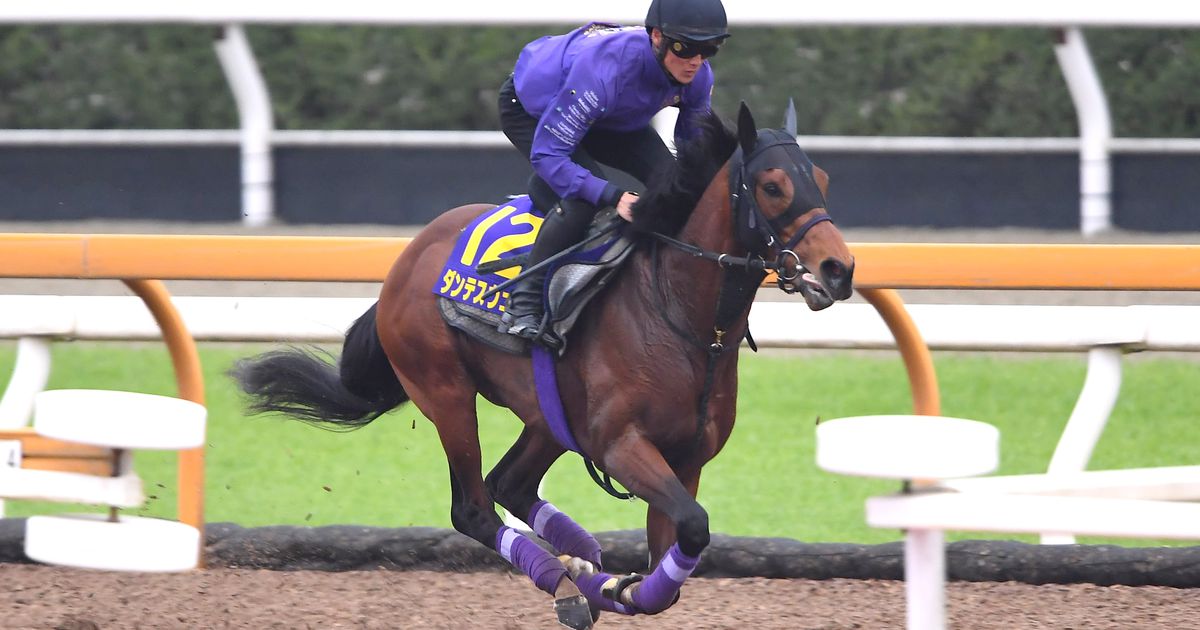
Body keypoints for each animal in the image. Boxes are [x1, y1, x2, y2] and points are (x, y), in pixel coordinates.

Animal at [232, 102, 854, 629]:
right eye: (772, 186)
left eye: (823, 181)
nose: (839, 268)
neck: (680, 318)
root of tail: (408, 256)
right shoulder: (621, 445)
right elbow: (691, 530)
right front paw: (615, 586)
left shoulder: (687, 457)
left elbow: (673, 560)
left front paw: (618, 584)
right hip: (445, 392)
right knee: (474, 508)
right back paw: (567, 583)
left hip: (549, 417)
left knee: (509, 484)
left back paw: (579, 567)